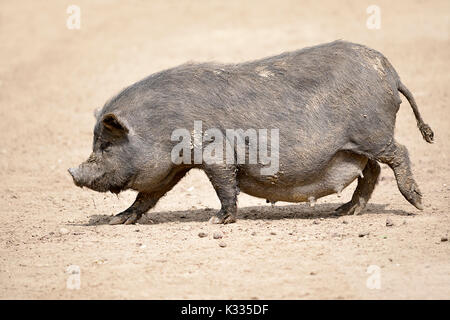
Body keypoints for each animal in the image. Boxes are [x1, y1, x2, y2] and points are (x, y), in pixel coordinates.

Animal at [69, 40, 432, 224]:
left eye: (106, 145)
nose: (72, 172)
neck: (160, 125)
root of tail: (391, 73)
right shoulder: (172, 168)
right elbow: (148, 195)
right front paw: (118, 220)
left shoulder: (212, 150)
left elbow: (223, 184)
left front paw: (216, 221)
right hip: (355, 146)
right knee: (371, 172)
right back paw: (344, 212)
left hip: (373, 133)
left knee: (399, 153)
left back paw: (418, 203)